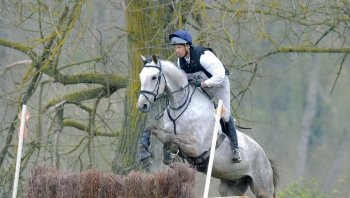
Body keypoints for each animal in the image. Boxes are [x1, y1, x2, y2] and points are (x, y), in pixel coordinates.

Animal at [135, 54, 278, 198]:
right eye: (141, 76)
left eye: (154, 77)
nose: (142, 106)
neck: (181, 106)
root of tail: (266, 159)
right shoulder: (167, 131)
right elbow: (152, 128)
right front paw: (145, 154)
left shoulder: (195, 145)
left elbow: (170, 138)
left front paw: (169, 155)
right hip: (231, 186)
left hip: (263, 188)